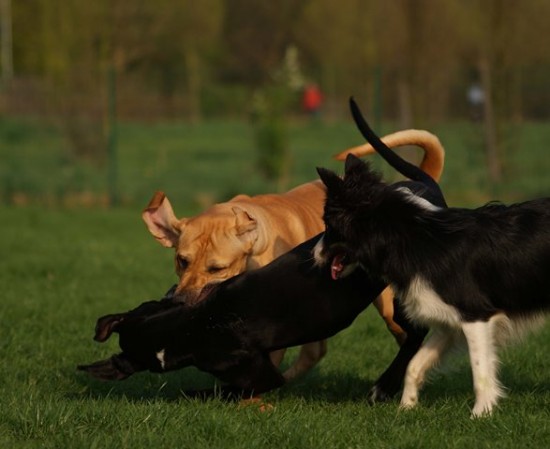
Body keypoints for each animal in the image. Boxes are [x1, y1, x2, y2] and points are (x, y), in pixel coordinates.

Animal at [314, 98, 550, 416]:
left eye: (329, 227)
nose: (313, 254)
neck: (415, 238)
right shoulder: (447, 322)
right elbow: (414, 365)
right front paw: (406, 407)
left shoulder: (475, 315)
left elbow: (480, 371)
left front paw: (480, 414)